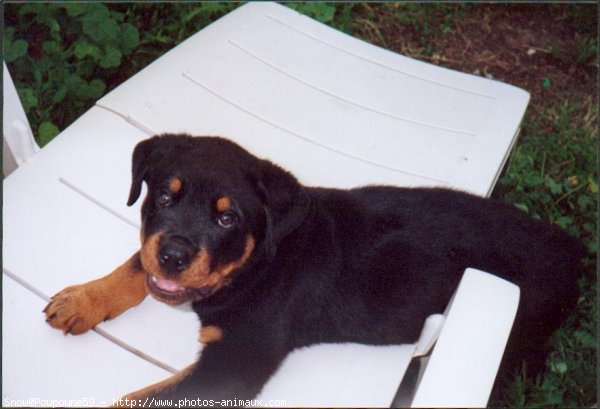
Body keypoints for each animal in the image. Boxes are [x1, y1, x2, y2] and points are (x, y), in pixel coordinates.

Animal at [44, 133, 584, 402]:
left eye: (227, 218)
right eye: (161, 195)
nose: (175, 256)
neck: (258, 263)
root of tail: (574, 251)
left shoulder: (238, 359)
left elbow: (141, 398)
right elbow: (136, 264)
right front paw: (82, 300)